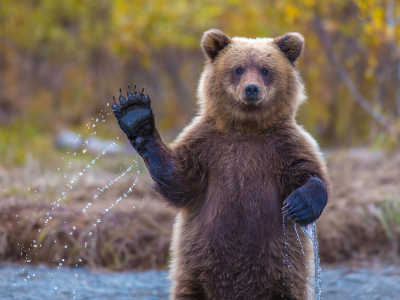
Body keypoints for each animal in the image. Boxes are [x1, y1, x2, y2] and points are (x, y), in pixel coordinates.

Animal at [111, 28, 330, 300]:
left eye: (265, 69)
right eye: (238, 68)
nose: (251, 89)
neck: (246, 127)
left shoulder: (285, 146)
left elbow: (310, 172)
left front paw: (299, 205)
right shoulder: (207, 146)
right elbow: (179, 181)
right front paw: (135, 113)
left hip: (283, 272)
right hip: (195, 270)